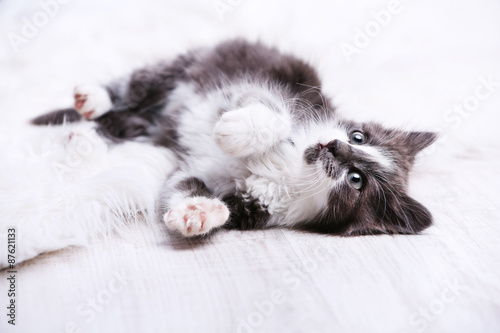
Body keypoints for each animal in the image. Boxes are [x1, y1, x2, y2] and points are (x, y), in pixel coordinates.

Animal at [33, 39, 436, 236]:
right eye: (359, 136)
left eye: (356, 180)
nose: (333, 146)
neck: (289, 171)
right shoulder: (273, 95)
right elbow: (266, 110)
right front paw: (236, 130)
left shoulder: (245, 203)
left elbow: (184, 186)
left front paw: (199, 212)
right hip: (198, 63)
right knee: (141, 82)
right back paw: (92, 99)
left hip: (158, 132)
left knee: (131, 125)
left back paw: (82, 141)